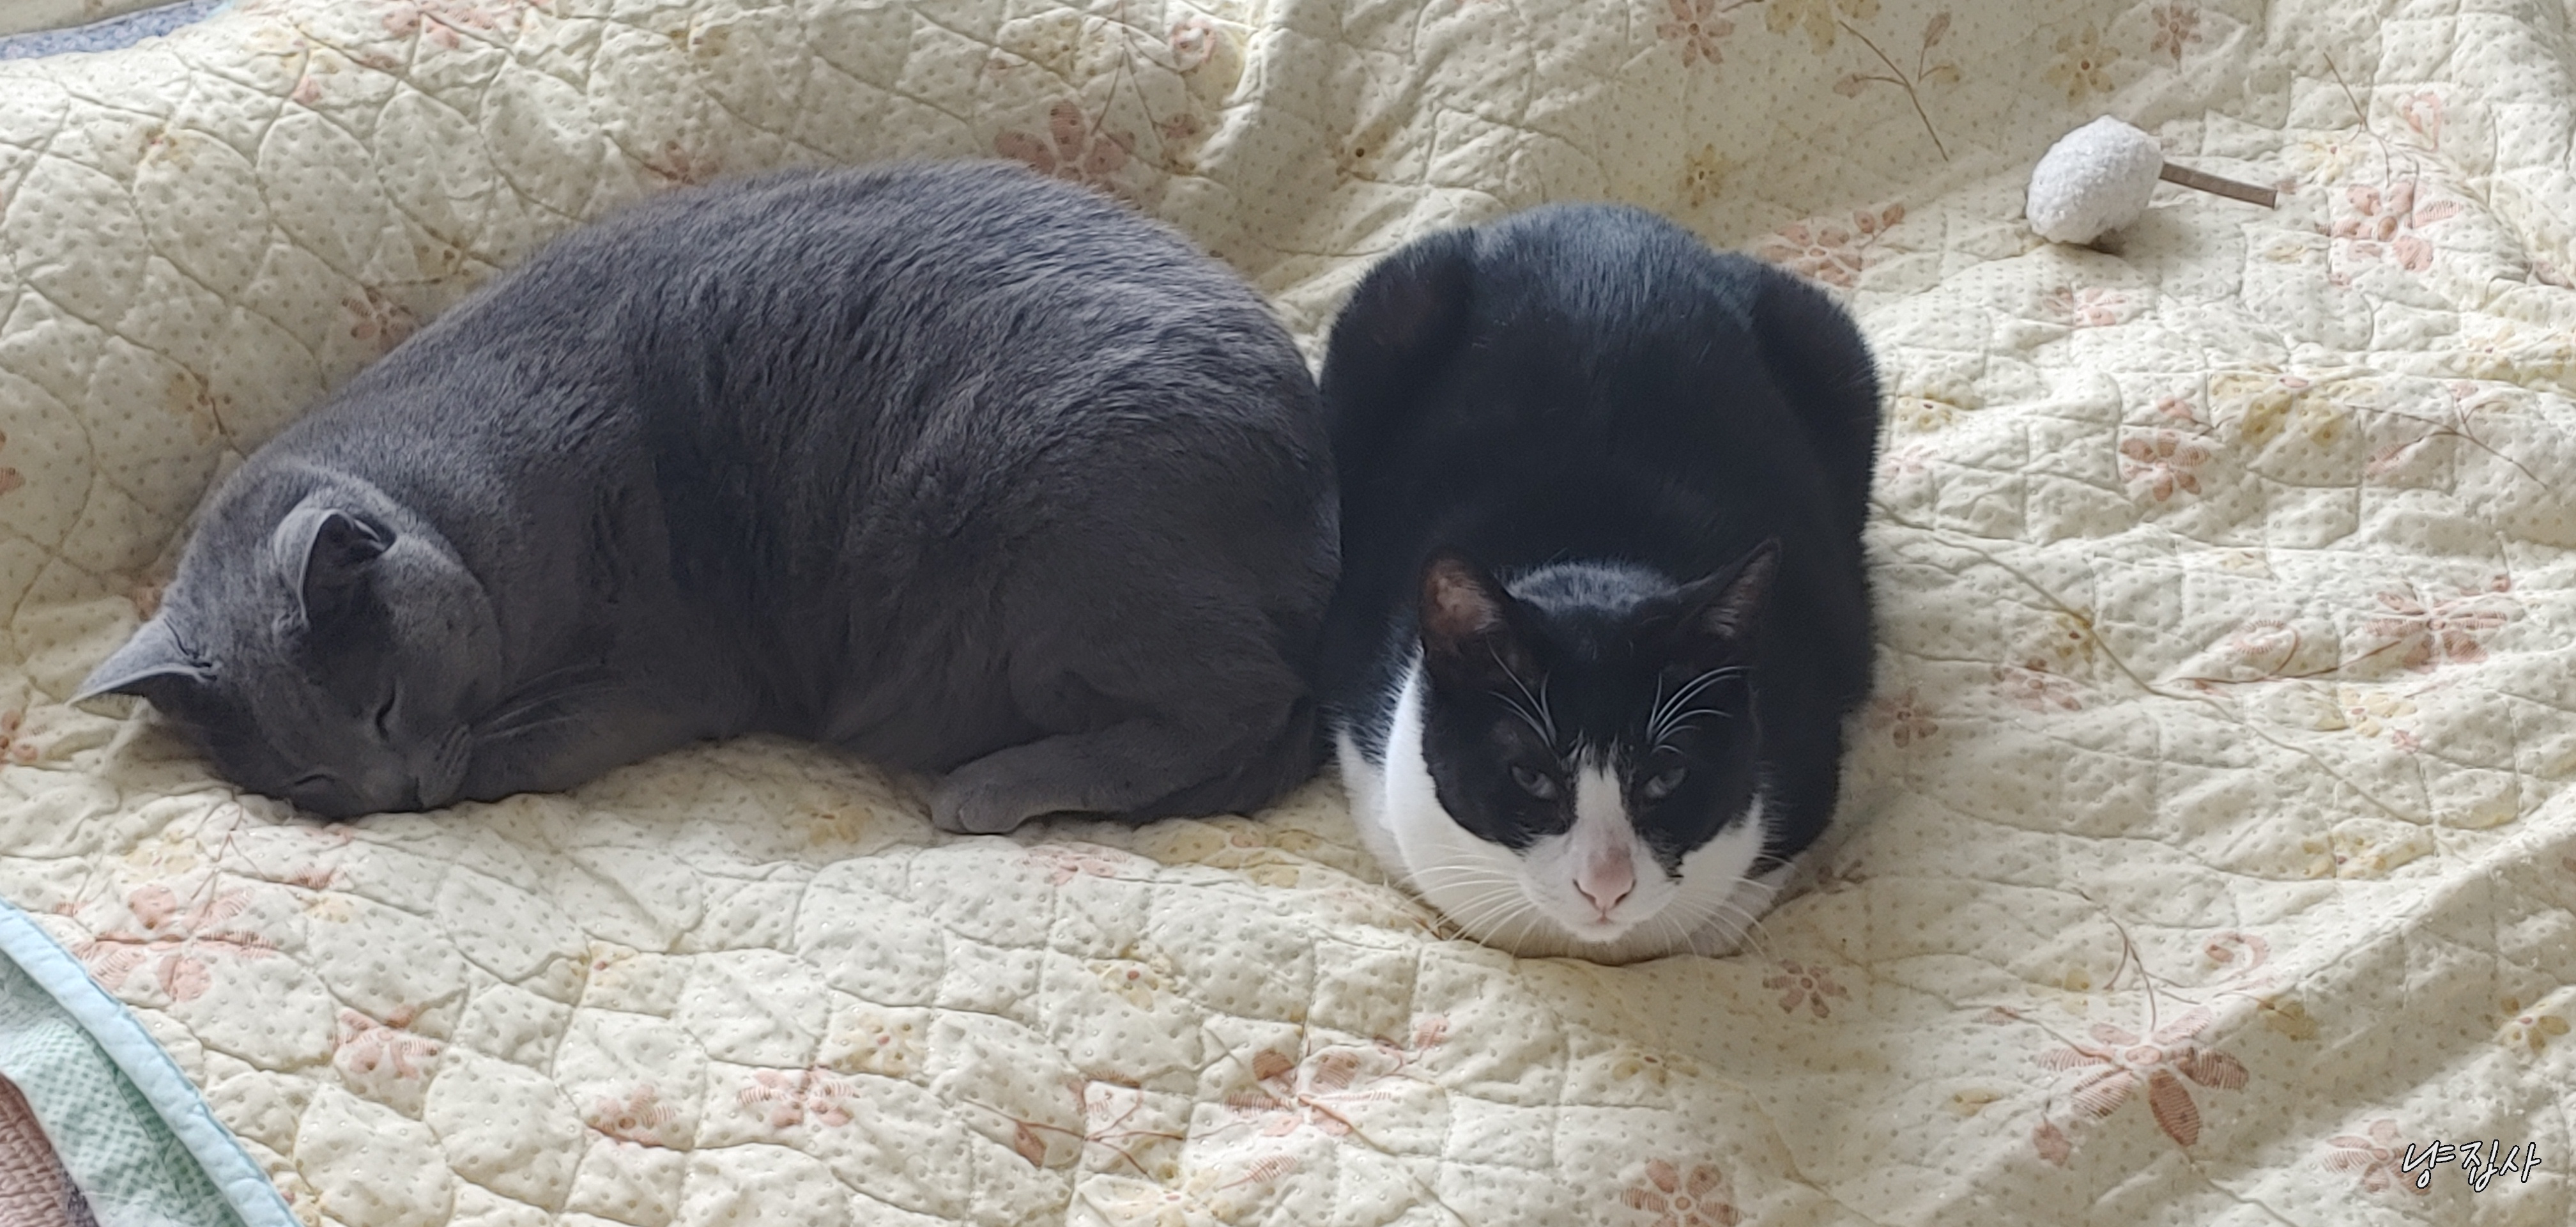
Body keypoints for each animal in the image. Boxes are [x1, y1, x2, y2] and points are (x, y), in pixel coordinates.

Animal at [75, 160, 1337, 832]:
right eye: (303, 778)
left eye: (382, 703)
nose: (392, 793)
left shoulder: (669, 671)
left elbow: (517, 749)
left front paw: (474, 765)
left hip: (1053, 526)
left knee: (1241, 697)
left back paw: (991, 788)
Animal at [1316, 203, 1880, 963]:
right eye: (1530, 775)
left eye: (1667, 775)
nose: (1605, 886)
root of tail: (1601, 214)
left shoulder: (1809, 746)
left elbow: (1727, 915)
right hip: (1386, 312)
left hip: (1829, 342)